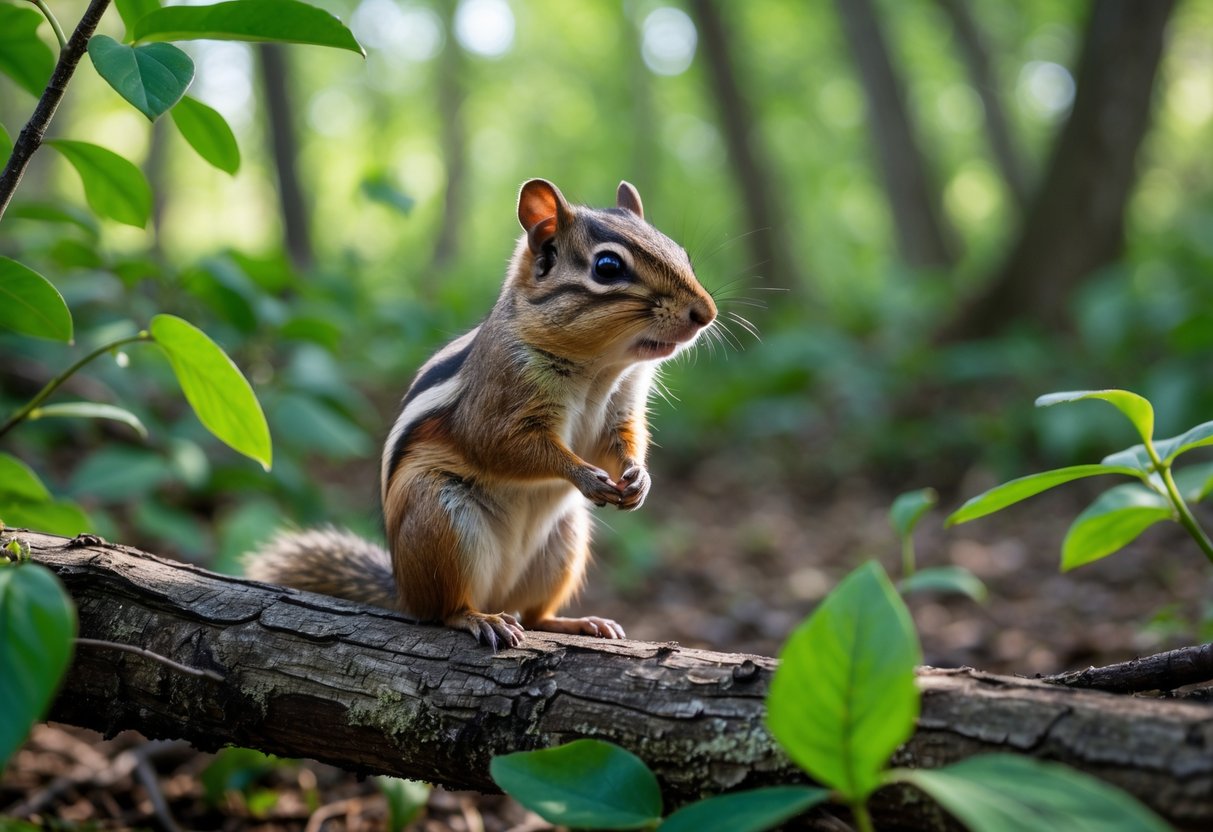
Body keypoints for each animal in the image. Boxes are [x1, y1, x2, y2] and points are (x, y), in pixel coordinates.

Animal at [245, 179, 717, 649]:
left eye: (680, 251)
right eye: (607, 266)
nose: (706, 313)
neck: (600, 368)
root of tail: (404, 589)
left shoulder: (623, 406)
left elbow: (623, 440)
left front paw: (639, 479)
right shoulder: (497, 403)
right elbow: (503, 445)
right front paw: (582, 474)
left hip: (564, 541)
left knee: (535, 615)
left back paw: (578, 622)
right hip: (440, 519)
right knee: (443, 609)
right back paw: (478, 618)